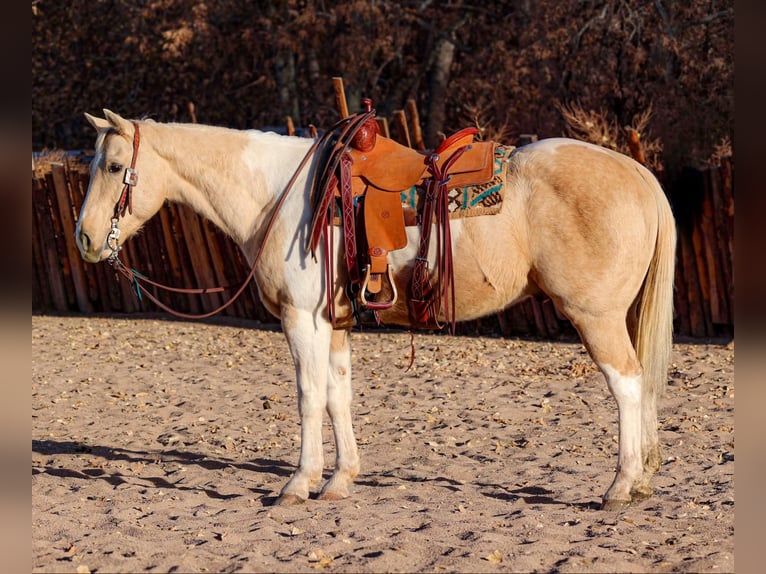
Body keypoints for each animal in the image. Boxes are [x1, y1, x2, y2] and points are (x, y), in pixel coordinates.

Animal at [75, 109, 676, 510]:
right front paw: (340, 479)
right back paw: (642, 480)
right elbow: (338, 394)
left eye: (114, 166)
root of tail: (636, 173)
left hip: (595, 317)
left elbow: (309, 396)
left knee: (627, 386)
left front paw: (298, 483)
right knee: (641, 387)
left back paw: (620, 486)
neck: (278, 195)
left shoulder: (301, 319)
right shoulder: (334, 323)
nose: (84, 238)